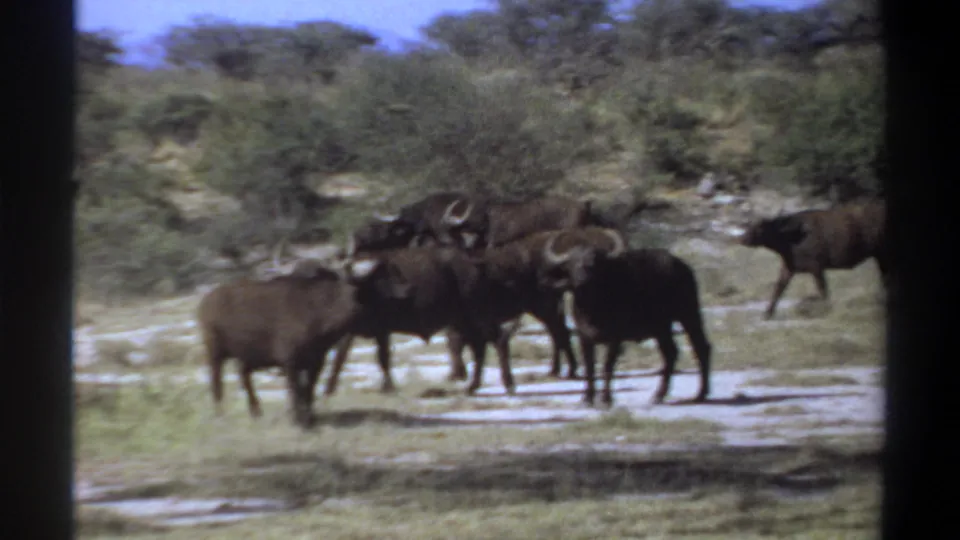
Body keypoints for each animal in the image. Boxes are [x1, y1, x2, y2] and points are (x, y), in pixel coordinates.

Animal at [537, 229, 713, 406]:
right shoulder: (584, 337)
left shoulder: (616, 339)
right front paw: (587, 397)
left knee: (701, 347)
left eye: (594, 262)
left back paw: (700, 394)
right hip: (662, 328)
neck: (592, 308)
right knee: (671, 353)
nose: (582, 280)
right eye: (572, 264)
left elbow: (607, 366)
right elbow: (589, 367)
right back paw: (659, 395)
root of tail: (683, 268)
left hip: (689, 314)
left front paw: (606, 398)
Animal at [739, 198, 888, 319]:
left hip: (881, 255)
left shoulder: (816, 267)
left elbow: (822, 289)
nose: (743, 238)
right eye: (748, 225)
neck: (790, 239)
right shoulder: (789, 268)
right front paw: (767, 314)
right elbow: (778, 289)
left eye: (760, 227)